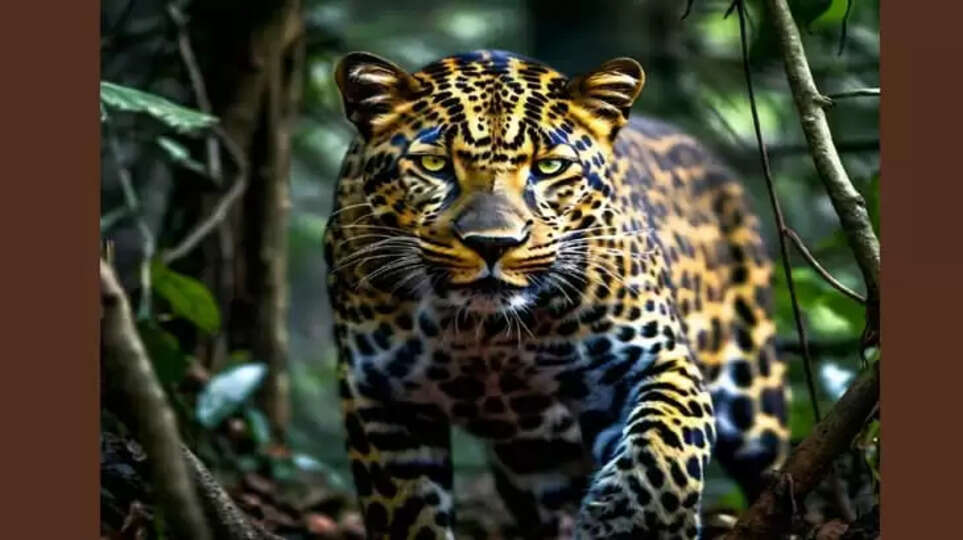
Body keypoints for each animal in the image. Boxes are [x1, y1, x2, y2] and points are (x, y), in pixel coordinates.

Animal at [323, 50, 789, 539]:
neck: (484, 333)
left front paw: (634, 522)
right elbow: (407, 513)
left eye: (549, 168)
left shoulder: (651, 357)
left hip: (756, 401)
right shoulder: (383, 395)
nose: (493, 244)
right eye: (434, 165)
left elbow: (665, 447)